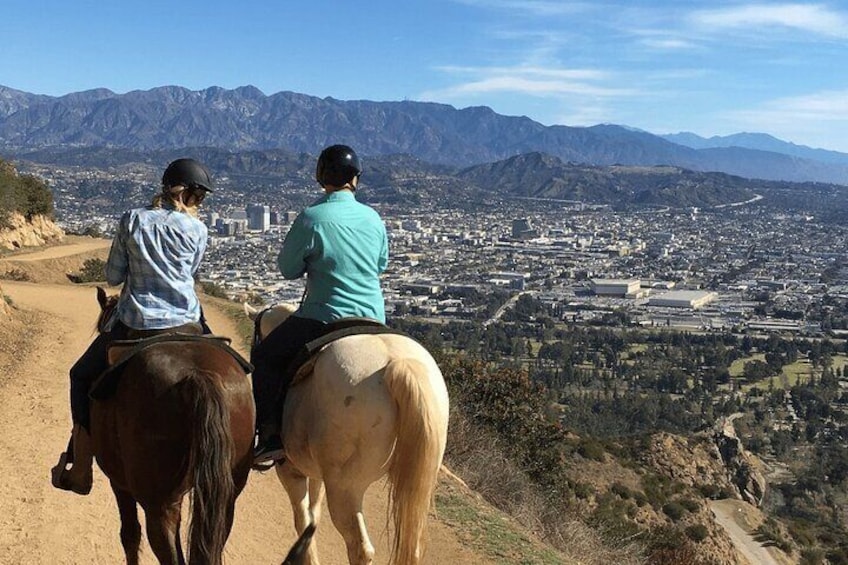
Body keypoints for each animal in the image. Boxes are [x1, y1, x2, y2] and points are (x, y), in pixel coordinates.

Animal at [247, 304, 450, 564]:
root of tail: (398, 364)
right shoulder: (316, 473)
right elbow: (313, 516)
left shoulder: (291, 471)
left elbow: (302, 518)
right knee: (412, 548)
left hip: (345, 488)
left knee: (360, 547)